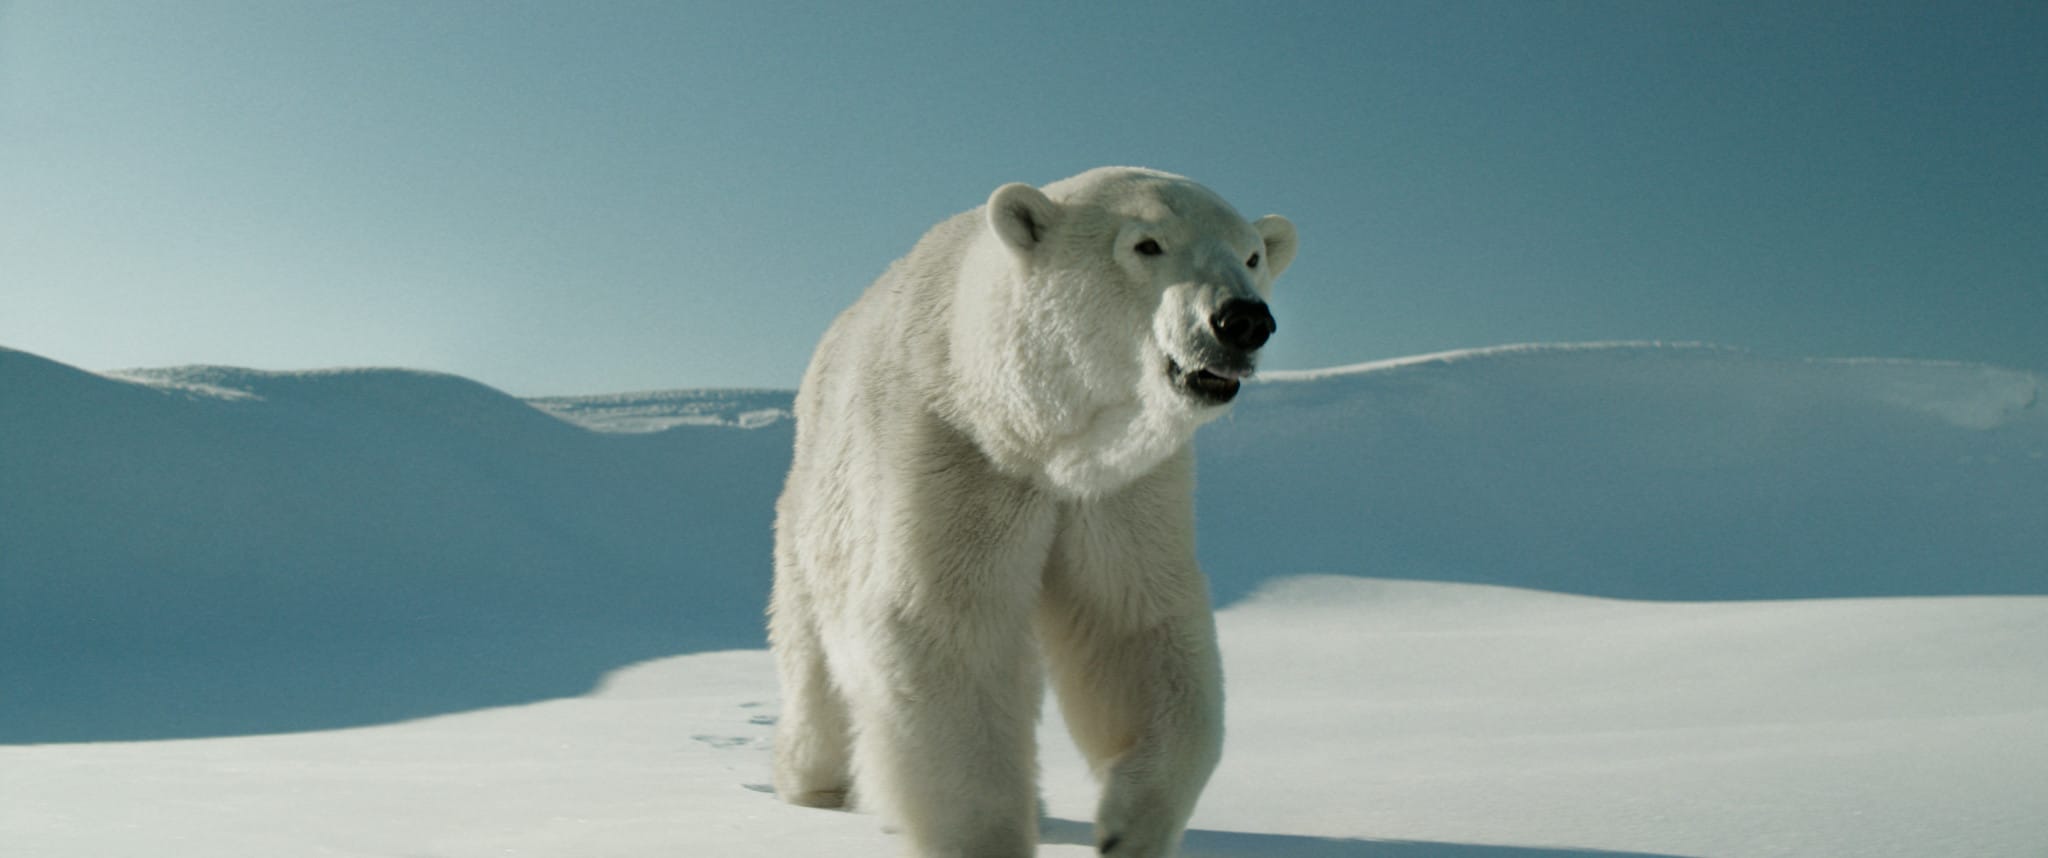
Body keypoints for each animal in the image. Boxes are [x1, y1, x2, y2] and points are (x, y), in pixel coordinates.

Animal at [768, 167, 1296, 857]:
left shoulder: (1118, 487)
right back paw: (815, 784)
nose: (1242, 320)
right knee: (814, 658)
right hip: (815, 513)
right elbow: (944, 624)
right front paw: (988, 838)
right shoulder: (955, 454)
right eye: (1147, 244)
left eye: (1251, 255)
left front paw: (1128, 826)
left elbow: (1131, 620)